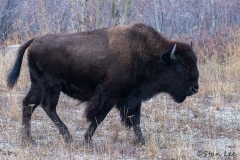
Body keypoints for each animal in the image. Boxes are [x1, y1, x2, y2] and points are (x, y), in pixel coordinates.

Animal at [7, 22, 199, 146]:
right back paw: (68, 137)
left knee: (29, 104)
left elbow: (135, 119)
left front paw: (141, 141)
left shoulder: (133, 98)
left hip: (37, 84)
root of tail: (35, 40)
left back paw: (29, 139)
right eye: (181, 66)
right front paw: (86, 141)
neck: (147, 55)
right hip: (52, 86)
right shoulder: (108, 95)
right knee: (47, 106)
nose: (195, 88)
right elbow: (98, 118)